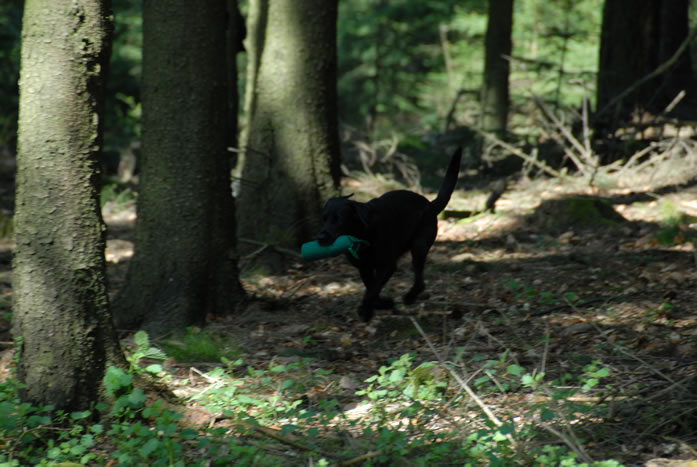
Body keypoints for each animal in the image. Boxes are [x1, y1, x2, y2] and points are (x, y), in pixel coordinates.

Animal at [316, 148, 462, 322]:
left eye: (339, 219)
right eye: (323, 218)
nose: (321, 238)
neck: (362, 235)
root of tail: (430, 204)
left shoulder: (387, 265)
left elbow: (372, 289)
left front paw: (366, 310)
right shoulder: (364, 267)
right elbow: (371, 288)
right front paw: (382, 304)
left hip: (419, 245)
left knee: (420, 280)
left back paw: (410, 296)